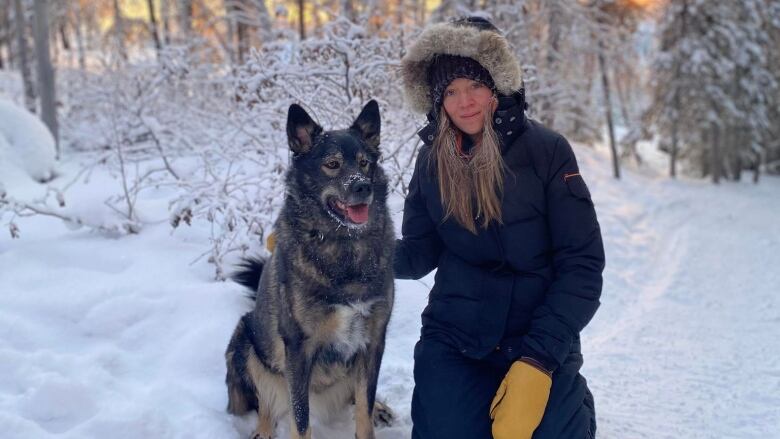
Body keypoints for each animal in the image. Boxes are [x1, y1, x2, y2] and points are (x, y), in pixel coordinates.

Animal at [225, 100, 396, 439]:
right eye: (332, 164)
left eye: (365, 163)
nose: (363, 186)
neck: (343, 244)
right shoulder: (298, 349)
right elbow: (300, 420)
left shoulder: (373, 341)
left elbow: (364, 409)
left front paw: (372, 413)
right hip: (247, 342)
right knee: (266, 404)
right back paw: (263, 431)